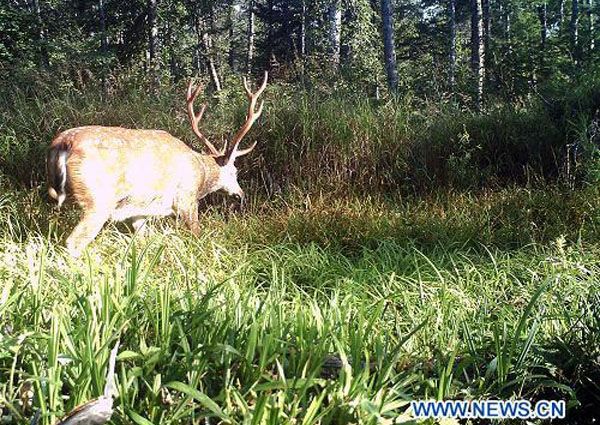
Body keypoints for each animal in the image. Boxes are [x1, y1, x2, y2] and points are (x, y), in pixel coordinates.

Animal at [48, 71, 268, 256]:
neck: (201, 173)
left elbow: (142, 240)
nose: (240, 194)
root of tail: (62, 143)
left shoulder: (140, 211)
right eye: (234, 172)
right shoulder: (186, 198)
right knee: (74, 242)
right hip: (98, 200)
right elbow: (196, 234)